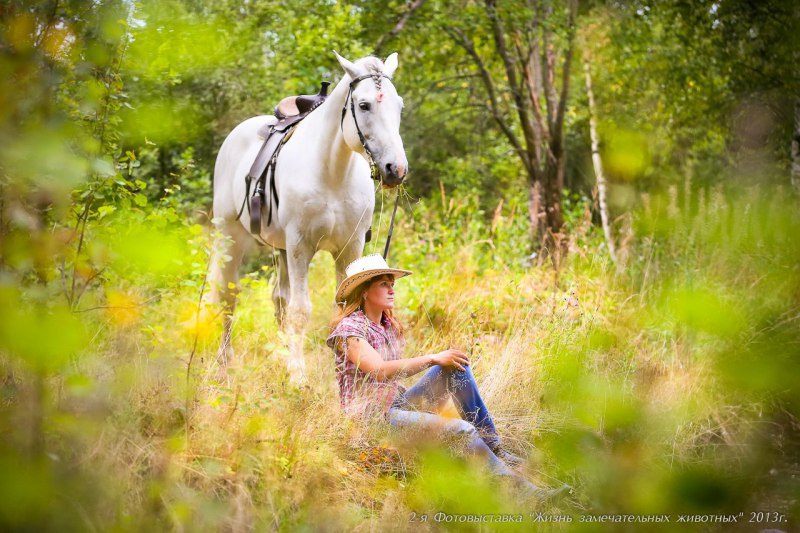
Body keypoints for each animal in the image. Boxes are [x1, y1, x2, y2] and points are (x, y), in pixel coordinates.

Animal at [203, 52, 410, 380]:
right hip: (231, 240)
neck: (333, 174)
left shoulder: (349, 248)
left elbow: (343, 305)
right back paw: (224, 361)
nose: (396, 169)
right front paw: (298, 375)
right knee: (228, 296)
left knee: (279, 300)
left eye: (398, 105)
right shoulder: (300, 247)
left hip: (280, 249)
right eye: (364, 105)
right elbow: (301, 311)